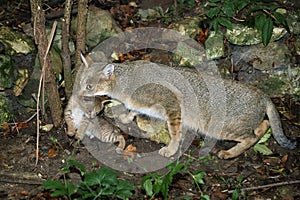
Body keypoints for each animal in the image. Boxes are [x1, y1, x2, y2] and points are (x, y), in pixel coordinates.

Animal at [77, 58, 296, 159]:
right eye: (80, 83)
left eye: (88, 86)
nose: (78, 93)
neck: (126, 82)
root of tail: (262, 94)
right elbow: (133, 109)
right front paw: (126, 116)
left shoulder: (172, 105)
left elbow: (175, 132)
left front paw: (171, 149)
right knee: (263, 125)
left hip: (223, 127)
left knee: (252, 135)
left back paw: (229, 153)